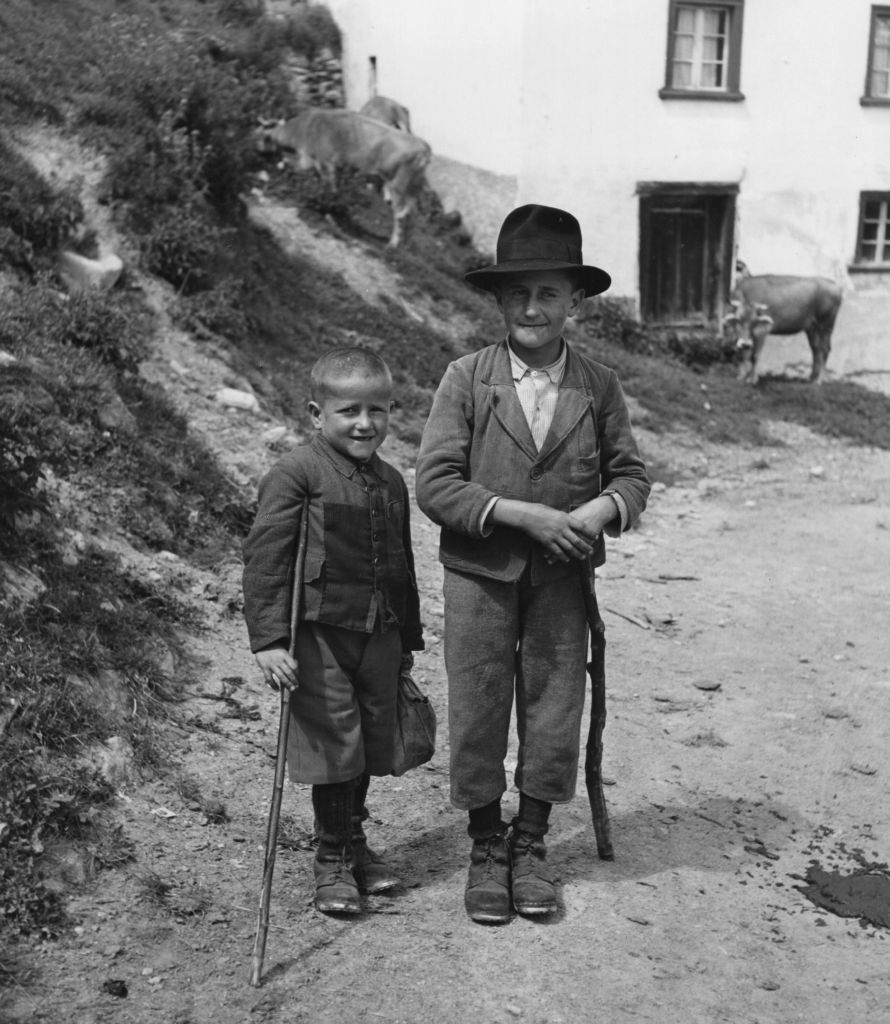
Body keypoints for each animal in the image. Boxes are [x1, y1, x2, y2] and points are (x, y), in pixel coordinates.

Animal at [255, 109, 428, 248]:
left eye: (259, 130)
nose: (254, 147)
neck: (303, 128)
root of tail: (423, 145)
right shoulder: (328, 166)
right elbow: (333, 190)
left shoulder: (322, 163)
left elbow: (329, 189)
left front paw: (326, 213)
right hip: (413, 188)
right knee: (411, 214)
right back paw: (405, 245)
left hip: (398, 185)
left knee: (400, 214)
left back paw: (392, 244)